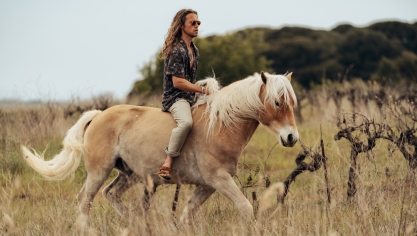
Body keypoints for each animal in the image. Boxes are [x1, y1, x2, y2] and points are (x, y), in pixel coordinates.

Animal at [21, 71, 298, 229]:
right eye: (277, 102)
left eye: (291, 103)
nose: (291, 137)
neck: (220, 125)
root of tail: (98, 115)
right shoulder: (219, 180)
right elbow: (247, 208)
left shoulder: (207, 186)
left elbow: (186, 217)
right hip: (99, 172)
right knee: (84, 200)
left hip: (130, 174)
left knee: (111, 194)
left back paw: (136, 224)